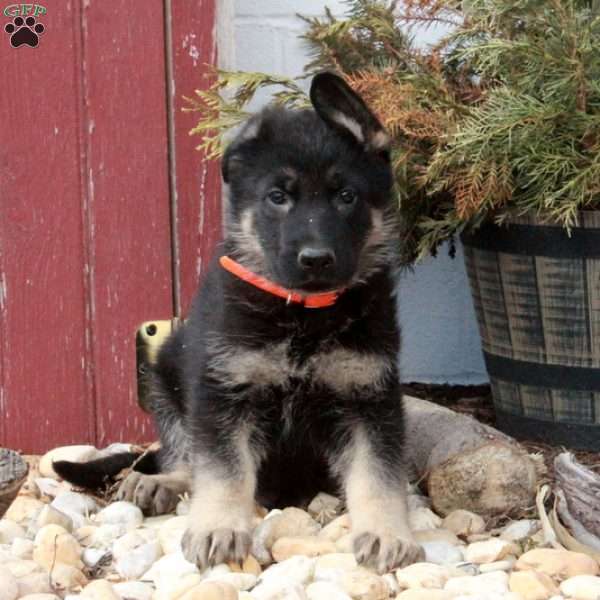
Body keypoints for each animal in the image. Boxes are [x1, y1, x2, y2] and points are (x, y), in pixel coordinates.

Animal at [55, 74, 422, 572]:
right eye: (278, 197)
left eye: (347, 197)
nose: (315, 259)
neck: (302, 314)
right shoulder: (224, 391)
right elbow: (223, 470)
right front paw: (218, 528)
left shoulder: (368, 395)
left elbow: (376, 473)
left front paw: (386, 533)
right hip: (166, 371)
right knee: (182, 456)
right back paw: (161, 483)